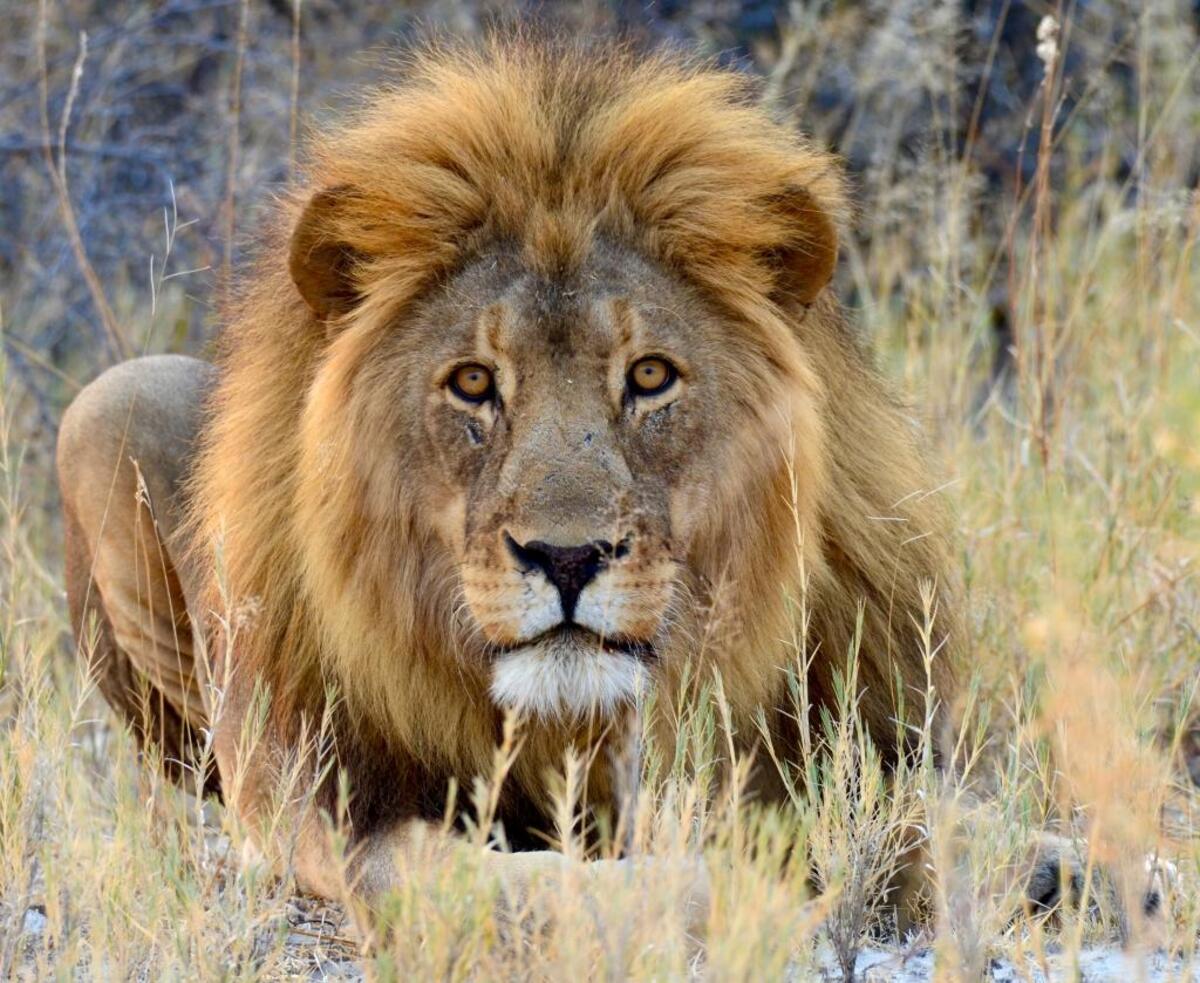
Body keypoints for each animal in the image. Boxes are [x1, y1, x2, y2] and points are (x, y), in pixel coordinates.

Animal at [60, 37, 1097, 929]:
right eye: (473, 382)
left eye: (649, 376)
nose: (566, 558)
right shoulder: (330, 803)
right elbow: (504, 881)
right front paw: (722, 888)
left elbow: (921, 804)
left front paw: (1058, 863)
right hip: (109, 403)